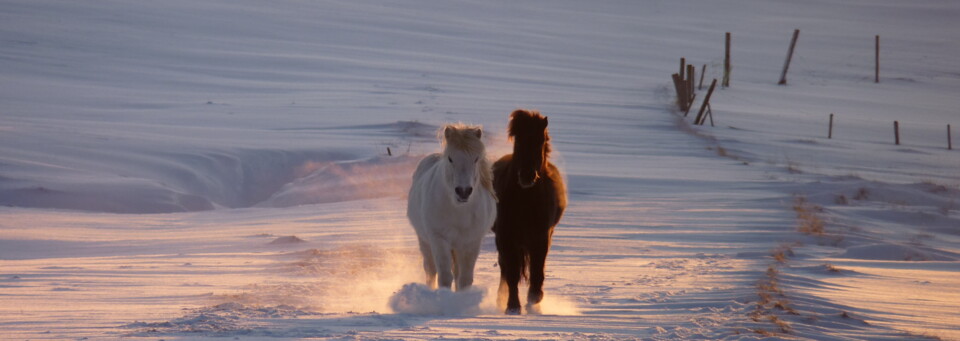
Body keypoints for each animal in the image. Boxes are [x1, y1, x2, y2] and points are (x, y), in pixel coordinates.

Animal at [404, 122, 496, 290]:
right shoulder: (439, 240)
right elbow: (445, 276)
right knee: (430, 271)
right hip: (425, 241)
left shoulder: (471, 243)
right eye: (450, 158)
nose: (463, 191)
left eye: (476, 159)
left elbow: (465, 279)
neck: (458, 212)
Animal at [492, 109, 568, 314]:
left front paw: (534, 301)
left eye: (540, 140)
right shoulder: (506, 238)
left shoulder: (541, 238)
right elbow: (511, 273)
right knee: (505, 269)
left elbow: (537, 272)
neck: (525, 200)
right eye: (518, 140)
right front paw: (512, 306)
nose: (527, 175)